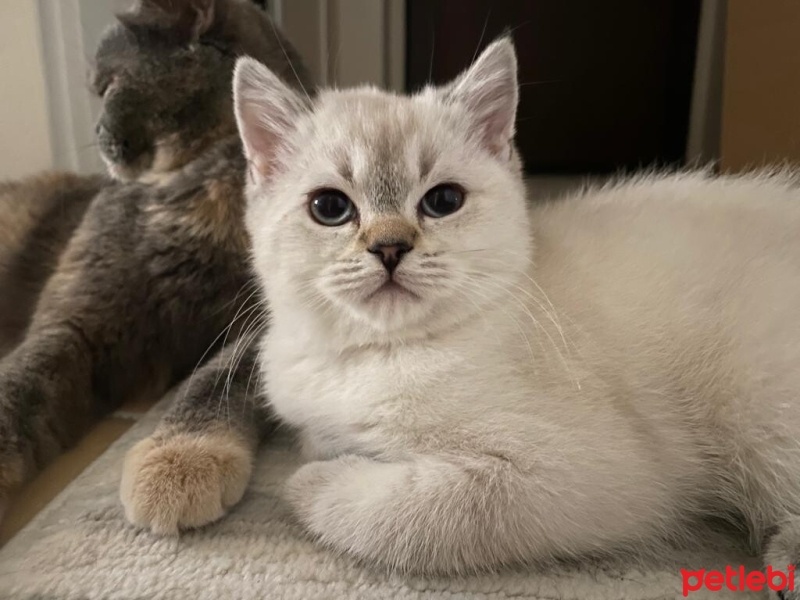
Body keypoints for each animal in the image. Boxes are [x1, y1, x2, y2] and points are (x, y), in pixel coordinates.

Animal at [233, 36, 800, 584]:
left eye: (443, 201)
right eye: (330, 208)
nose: (390, 247)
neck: (377, 356)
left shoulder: (585, 473)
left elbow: (409, 515)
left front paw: (308, 481)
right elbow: (321, 442)